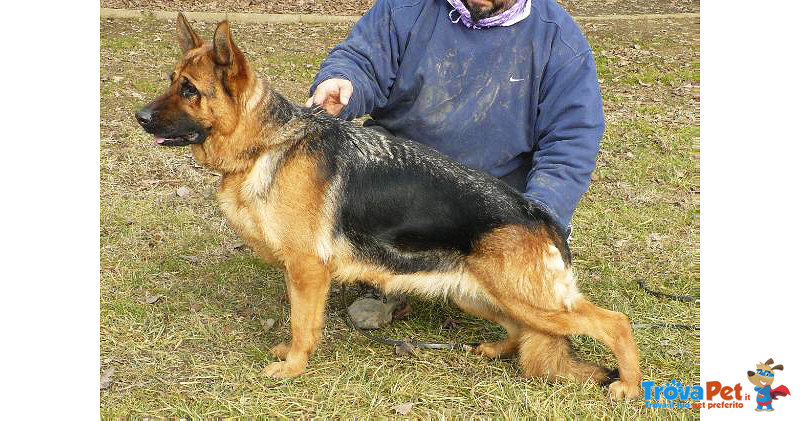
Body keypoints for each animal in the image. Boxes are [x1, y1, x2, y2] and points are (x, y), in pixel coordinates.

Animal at [134, 13, 640, 400]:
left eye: (189, 90)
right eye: (171, 82)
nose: (139, 117)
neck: (266, 142)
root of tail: (538, 217)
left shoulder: (307, 269)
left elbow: (302, 325)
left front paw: (293, 367)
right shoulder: (302, 271)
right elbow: (302, 321)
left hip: (531, 300)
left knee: (615, 323)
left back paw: (630, 386)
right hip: (480, 294)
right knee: (521, 331)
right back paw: (498, 350)